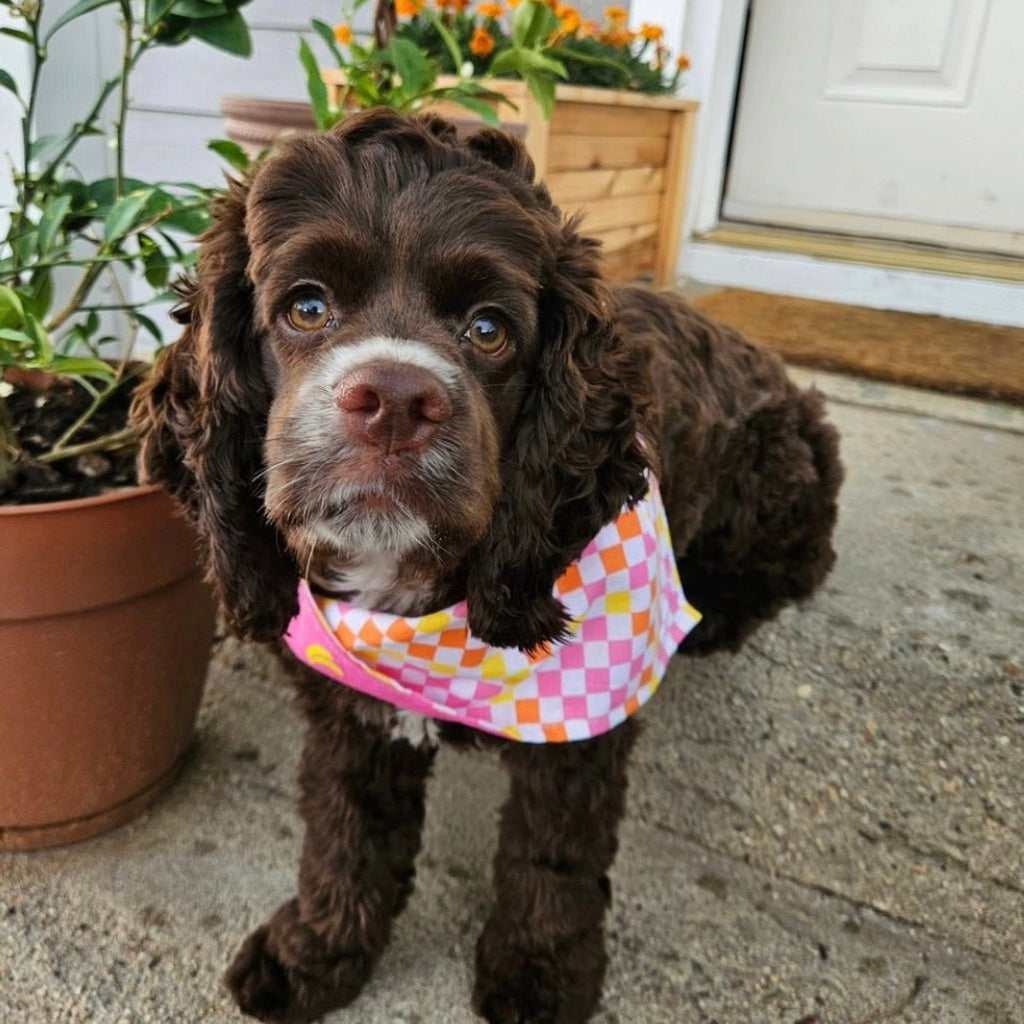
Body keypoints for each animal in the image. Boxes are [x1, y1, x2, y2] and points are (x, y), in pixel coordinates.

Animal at [132, 110, 843, 1024]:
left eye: (488, 329)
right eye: (306, 307)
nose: (394, 401)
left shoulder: (579, 732)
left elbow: (552, 853)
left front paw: (541, 971)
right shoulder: (350, 709)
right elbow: (344, 830)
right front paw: (317, 950)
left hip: (788, 478)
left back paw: (716, 615)